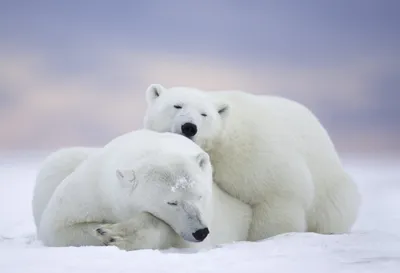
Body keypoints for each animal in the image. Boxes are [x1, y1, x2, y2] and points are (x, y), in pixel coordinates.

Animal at [32, 129, 252, 249]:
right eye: (172, 202)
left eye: (200, 196)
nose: (200, 231)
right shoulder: (91, 190)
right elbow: (59, 227)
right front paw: (106, 232)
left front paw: (117, 234)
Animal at [142, 83, 360, 240]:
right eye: (177, 105)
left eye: (204, 114)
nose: (189, 127)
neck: (223, 144)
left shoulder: (257, 158)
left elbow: (278, 197)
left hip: (330, 188)